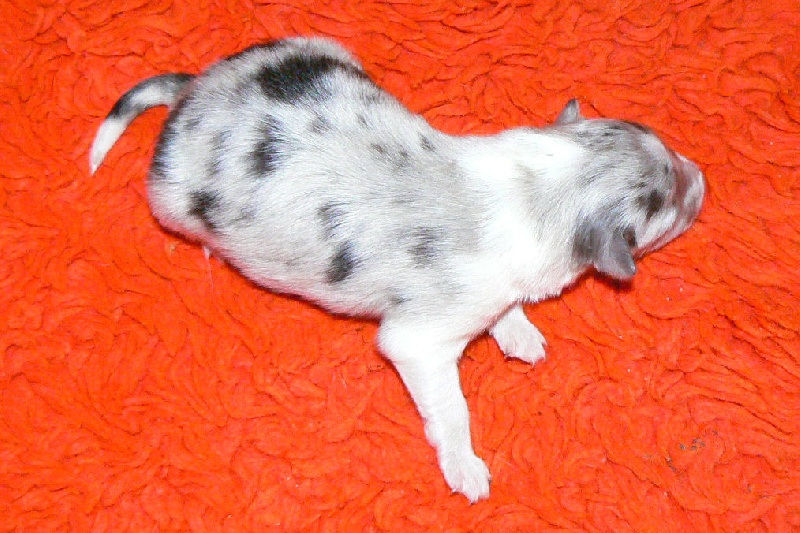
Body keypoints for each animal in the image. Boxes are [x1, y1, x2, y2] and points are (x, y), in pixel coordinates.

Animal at [90, 36, 705, 502]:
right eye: (666, 203)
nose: (702, 179)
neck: (538, 189)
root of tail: (192, 93)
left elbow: (505, 308)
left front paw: (521, 335)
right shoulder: (419, 342)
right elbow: (452, 408)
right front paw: (468, 471)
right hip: (168, 203)